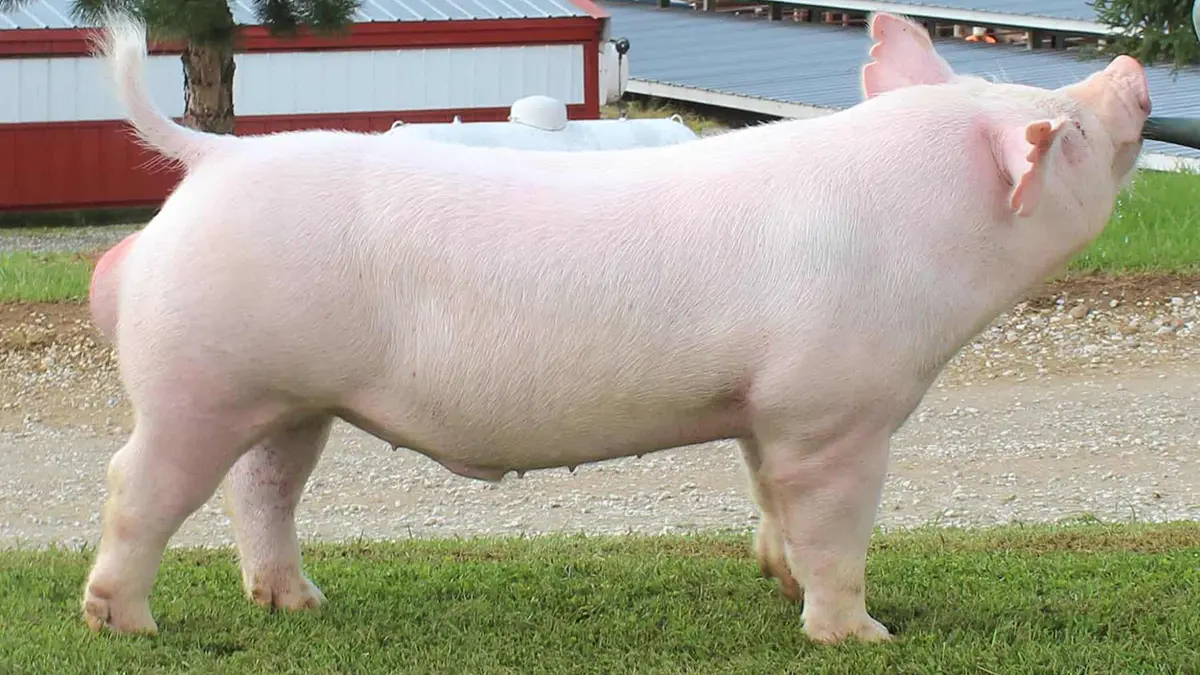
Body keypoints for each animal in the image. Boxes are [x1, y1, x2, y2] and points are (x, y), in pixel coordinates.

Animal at [81, 11, 1149, 645]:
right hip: (197, 379)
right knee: (138, 481)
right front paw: (862, 636)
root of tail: (212, 157)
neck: (919, 236)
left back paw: (300, 605)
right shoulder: (833, 409)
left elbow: (770, 495)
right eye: (1068, 135)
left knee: (264, 488)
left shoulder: (767, 408)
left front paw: (775, 579)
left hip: (291, 396)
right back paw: (124, 624)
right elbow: (836, 521)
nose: (1131, 68)